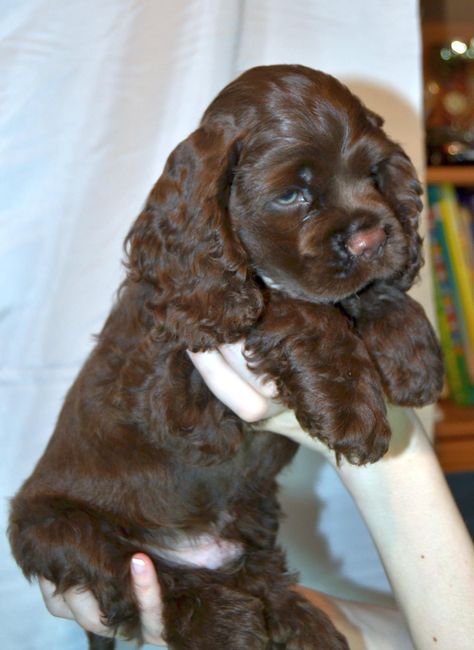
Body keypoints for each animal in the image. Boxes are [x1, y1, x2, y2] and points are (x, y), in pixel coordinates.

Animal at [8, 66, 444, 648]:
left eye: (375, 173)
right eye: (292, 194)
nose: (373, 238)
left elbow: (363, 293)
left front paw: (413, 355)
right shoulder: (183, 371)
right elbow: (295, 306)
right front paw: (354, 410)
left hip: (251, 512)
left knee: (258, 574)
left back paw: (302, 623)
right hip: (54, 524)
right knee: (141, 578)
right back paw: (228, 624)